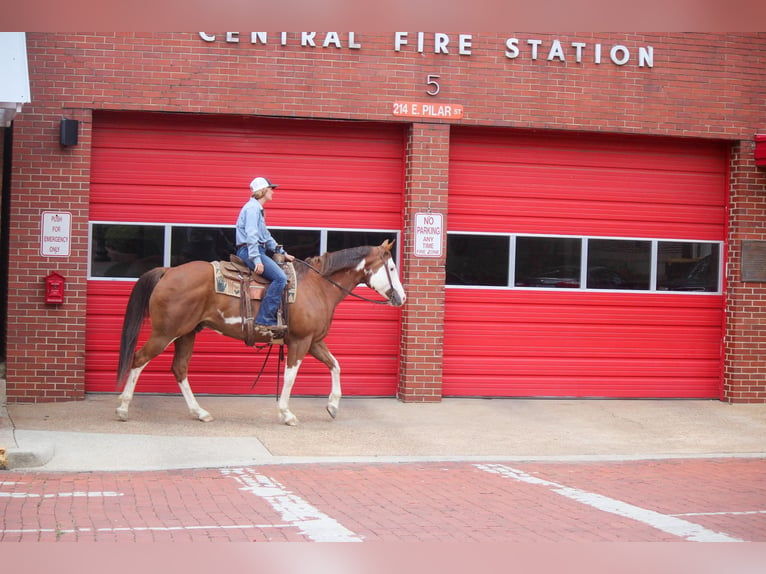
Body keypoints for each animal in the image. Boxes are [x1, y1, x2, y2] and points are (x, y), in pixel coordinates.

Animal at [115, 241, 408, 426]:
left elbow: (336, 365)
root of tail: (168, 271)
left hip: (187, 333)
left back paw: (200, 412)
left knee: (179, 369)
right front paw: (286, 414)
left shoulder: (314, 341)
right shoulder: (300, 342)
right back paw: (122, 408)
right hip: (166, 332)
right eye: (392, 268)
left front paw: (333, 406)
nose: (402, 298)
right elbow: (290, 377)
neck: (318, 286)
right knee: (139, 359)